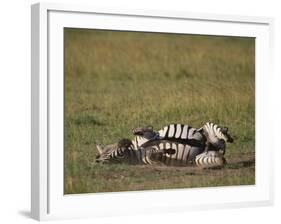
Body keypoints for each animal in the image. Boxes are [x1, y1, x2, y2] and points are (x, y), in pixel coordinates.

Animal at [95, 122, 233, 168]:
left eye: (109, 150)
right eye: (117, 155)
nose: (124, 142)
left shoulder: (149, 135)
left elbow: (142, 130)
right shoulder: (149, 156)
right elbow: (153, 154)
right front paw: (170, 151)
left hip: (208, 131)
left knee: (213, 130)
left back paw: (226, 134)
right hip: (201, 157)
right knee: (220, 153)